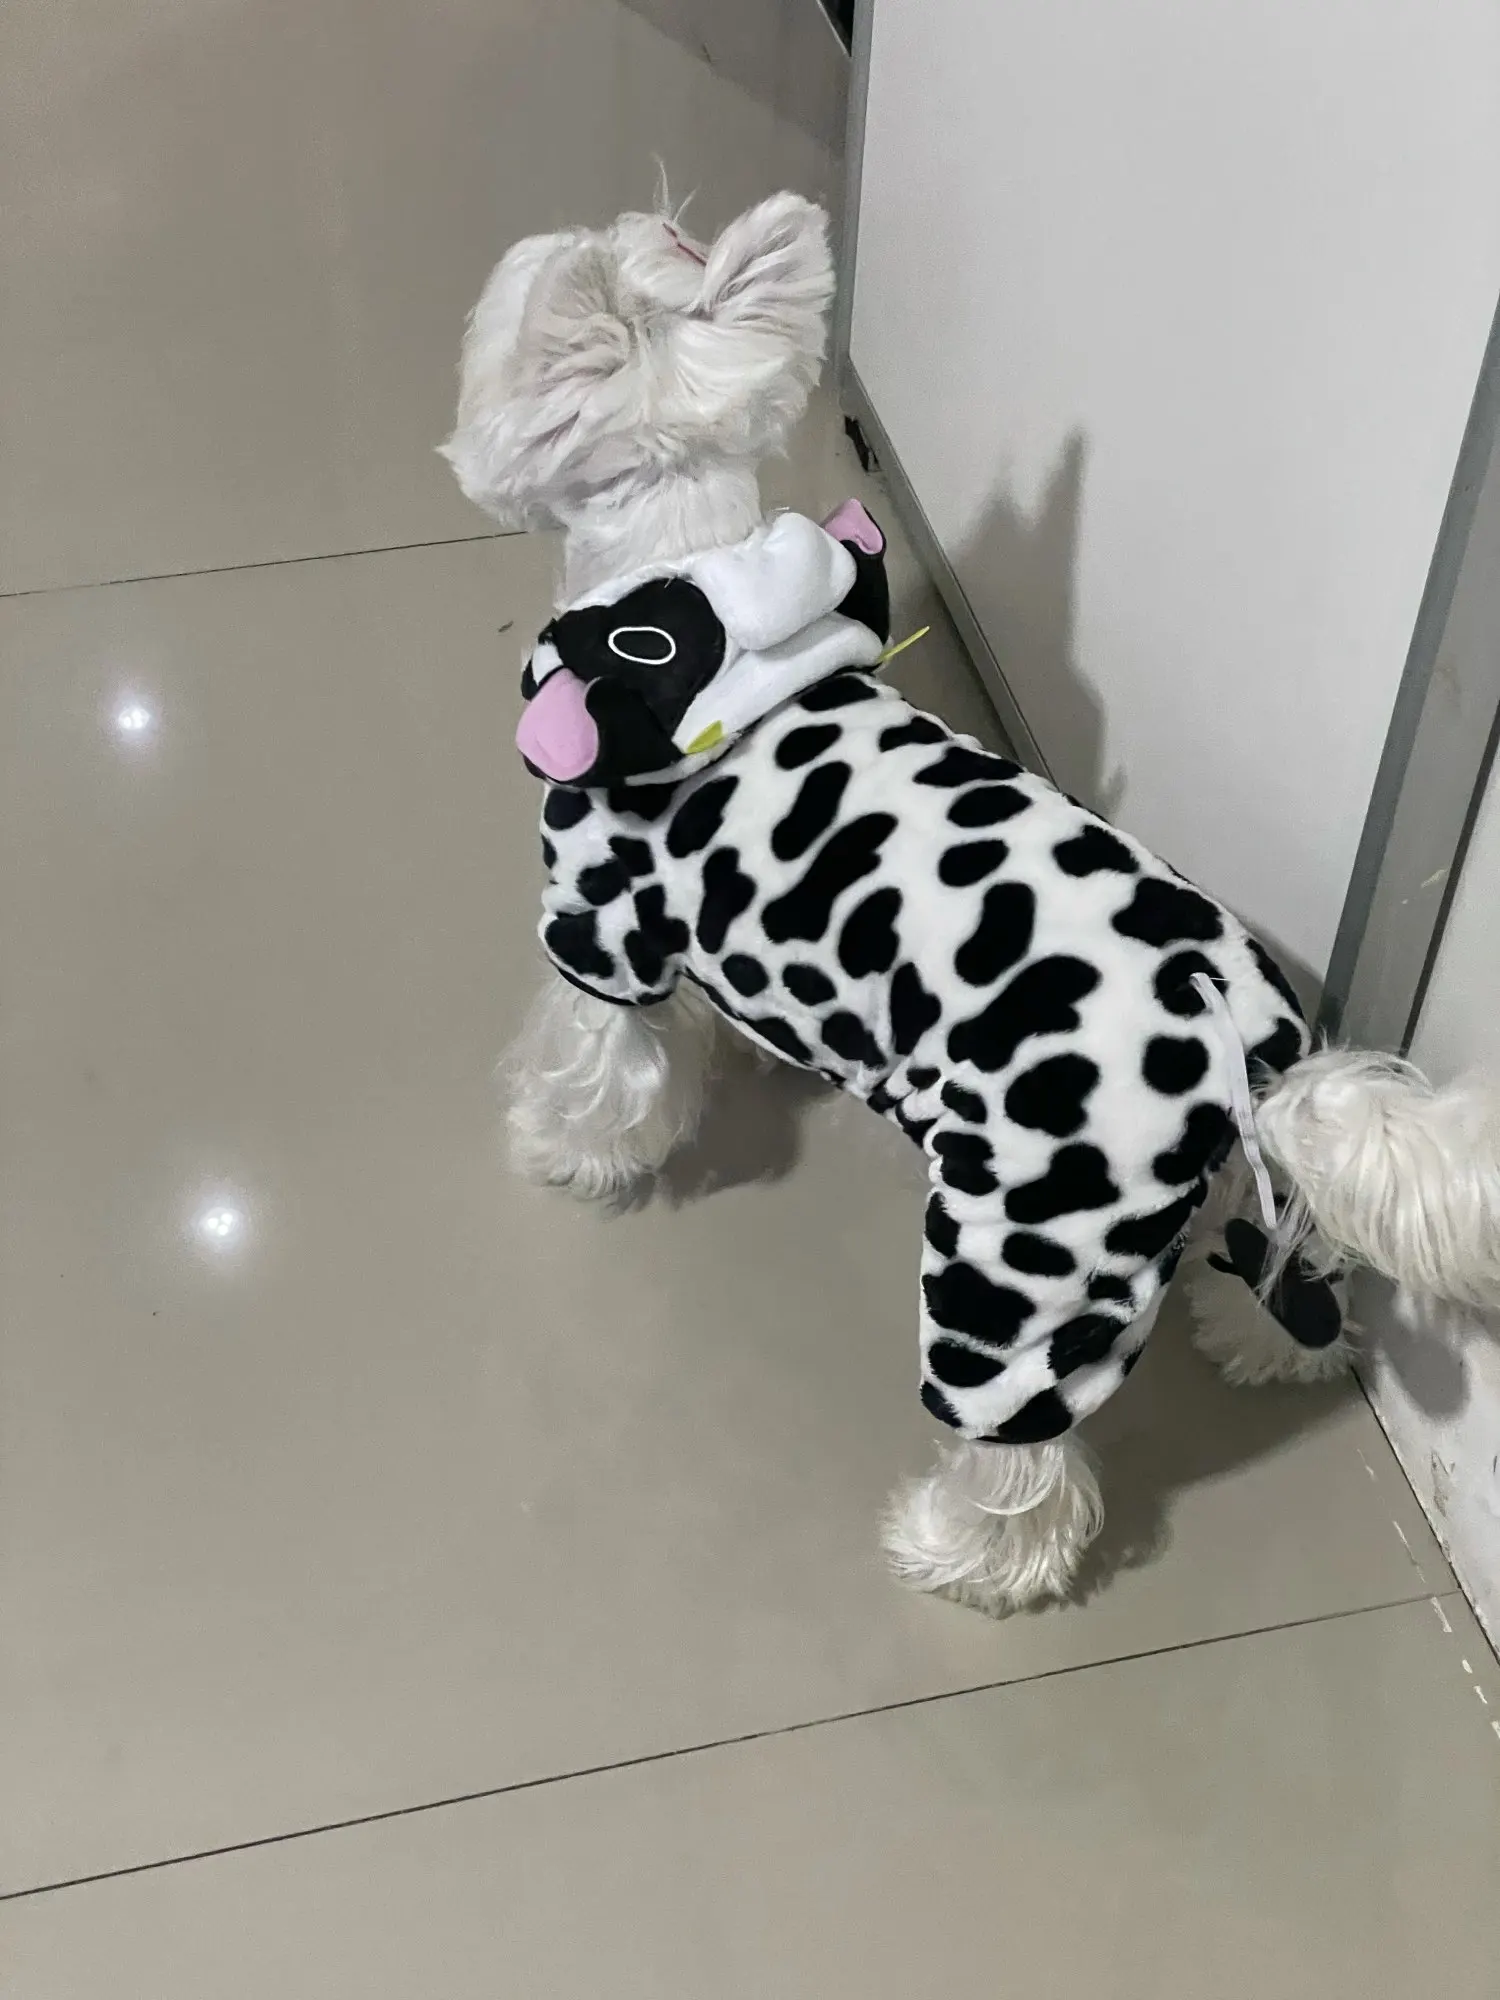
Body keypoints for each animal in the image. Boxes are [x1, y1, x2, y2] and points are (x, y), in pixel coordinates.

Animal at [442, 193, 1500, 1616]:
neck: (693, 592)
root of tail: (1240, 1042)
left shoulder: (601, 923)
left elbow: (598, 1065)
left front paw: (562, 1151)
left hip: (1021, 1254)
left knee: (1023, 1455)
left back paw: (960, 1556)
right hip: (1228, 1185)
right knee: (1295, 1258)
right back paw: (1264, 1345)